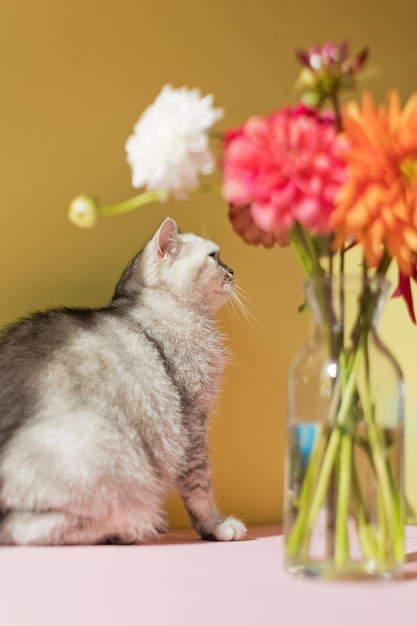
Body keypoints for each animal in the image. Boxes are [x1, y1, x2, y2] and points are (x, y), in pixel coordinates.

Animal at [0, 216, 245, 540]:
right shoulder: (191, 424)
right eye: (214, 256)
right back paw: (130, 527)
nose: (232, 270)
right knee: (24, 529)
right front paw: (217, 527)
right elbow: (200, 487)